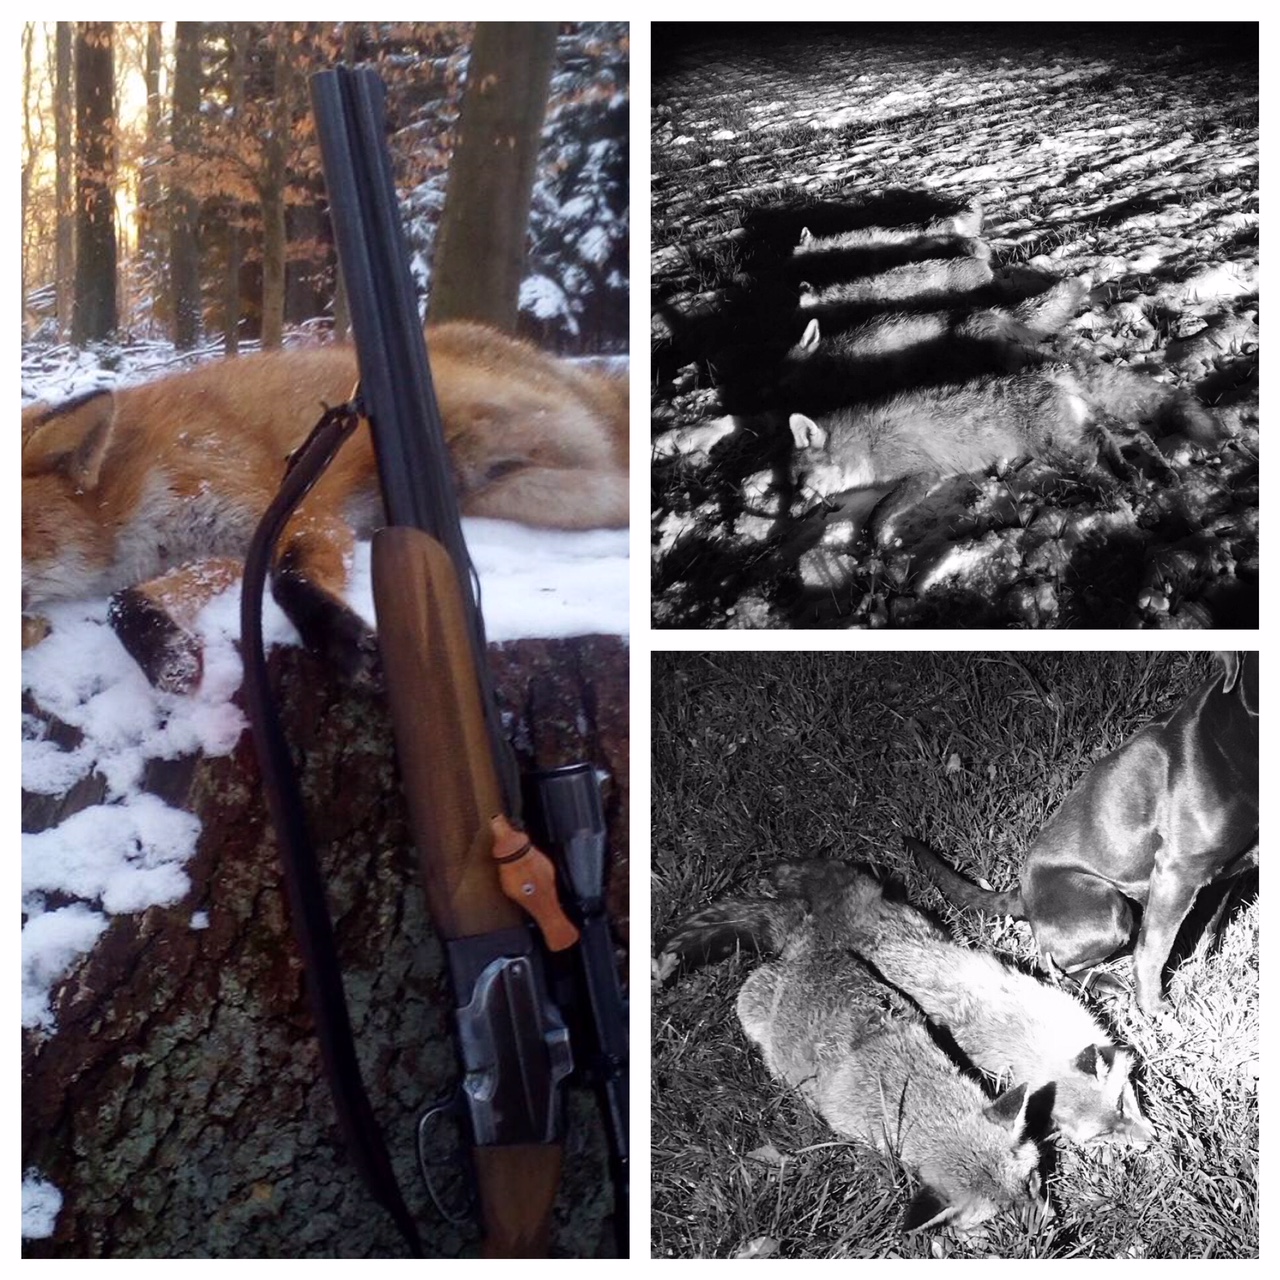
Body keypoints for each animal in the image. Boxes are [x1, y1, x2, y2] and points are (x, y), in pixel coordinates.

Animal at [24, 325, 629, 696]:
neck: (126, 495)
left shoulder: (290, 513)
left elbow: (289, 577)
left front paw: (338, 635)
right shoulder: (221, 552)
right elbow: (124, 603)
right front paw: (169, 657)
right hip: (516, 491)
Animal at [660, 860, 1152, 1152]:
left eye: (1123, 1105)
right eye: (1105, 1132)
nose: (1152, 1141)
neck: (1021, 1031)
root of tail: (806, 930)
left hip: (863, 887)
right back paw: (781, 872)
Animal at [911, 655, 1259, 1013]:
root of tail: (1023, 893)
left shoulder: (1227, 874)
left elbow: (1209, 930)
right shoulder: (1177, 872)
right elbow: (1153, 951)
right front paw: (1156, 1010)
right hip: (1107, 906)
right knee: (1051, 961)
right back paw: (1102, 982)